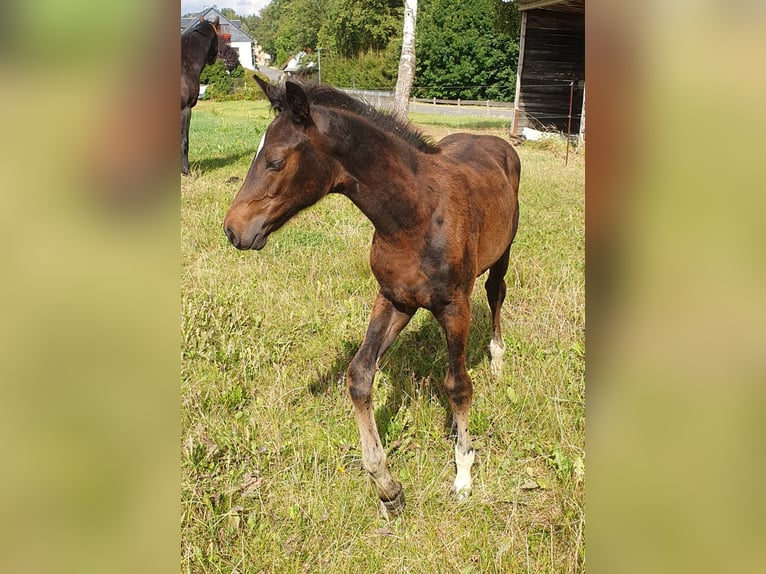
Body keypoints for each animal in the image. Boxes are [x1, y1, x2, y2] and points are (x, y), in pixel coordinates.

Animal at [224, 77, 520, 516]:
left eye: (275, 161)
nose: (233, 229)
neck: (414, 215)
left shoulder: (455, 306)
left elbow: (458, 386)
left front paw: (464, 475)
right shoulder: (394, 298)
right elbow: (360, 375)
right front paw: (387, 486)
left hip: (502, 255)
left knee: (495, 294)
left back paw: (497, 360)